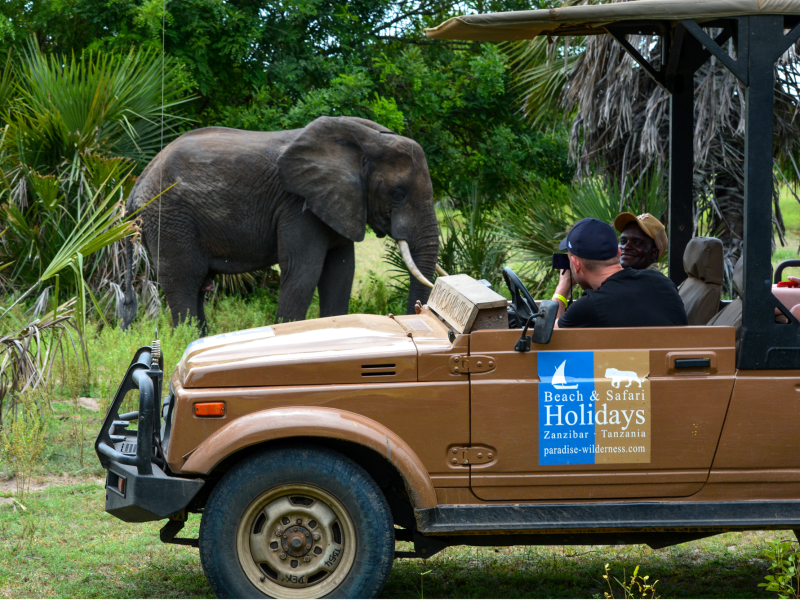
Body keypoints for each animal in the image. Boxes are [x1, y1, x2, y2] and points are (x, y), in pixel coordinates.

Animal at [123, 116, 443, 331]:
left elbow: (340, 273)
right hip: (170, 218)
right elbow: (304, 271)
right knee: (184, 281)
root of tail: (137, 184)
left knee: (199, 284)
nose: (416, 313)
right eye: (397, 194)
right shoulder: (298, 205)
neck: (367, 140)